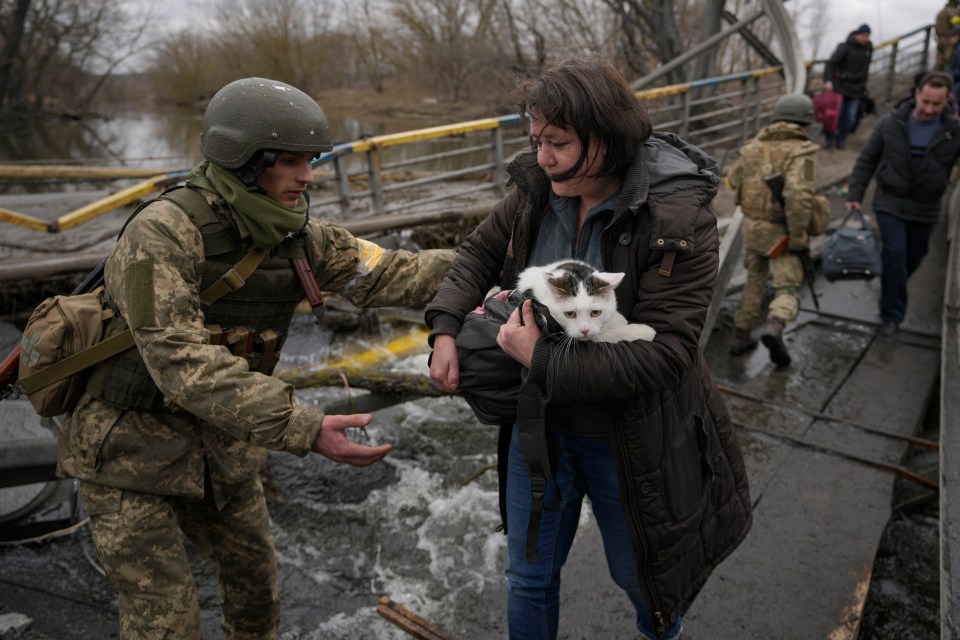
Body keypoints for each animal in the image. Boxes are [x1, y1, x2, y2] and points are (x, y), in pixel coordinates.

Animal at [512, 258, 656, 342]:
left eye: (595, 313)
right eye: (569, 314)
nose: (584, 331)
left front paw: (618, 319)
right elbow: (612, 335)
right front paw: (643, 331)